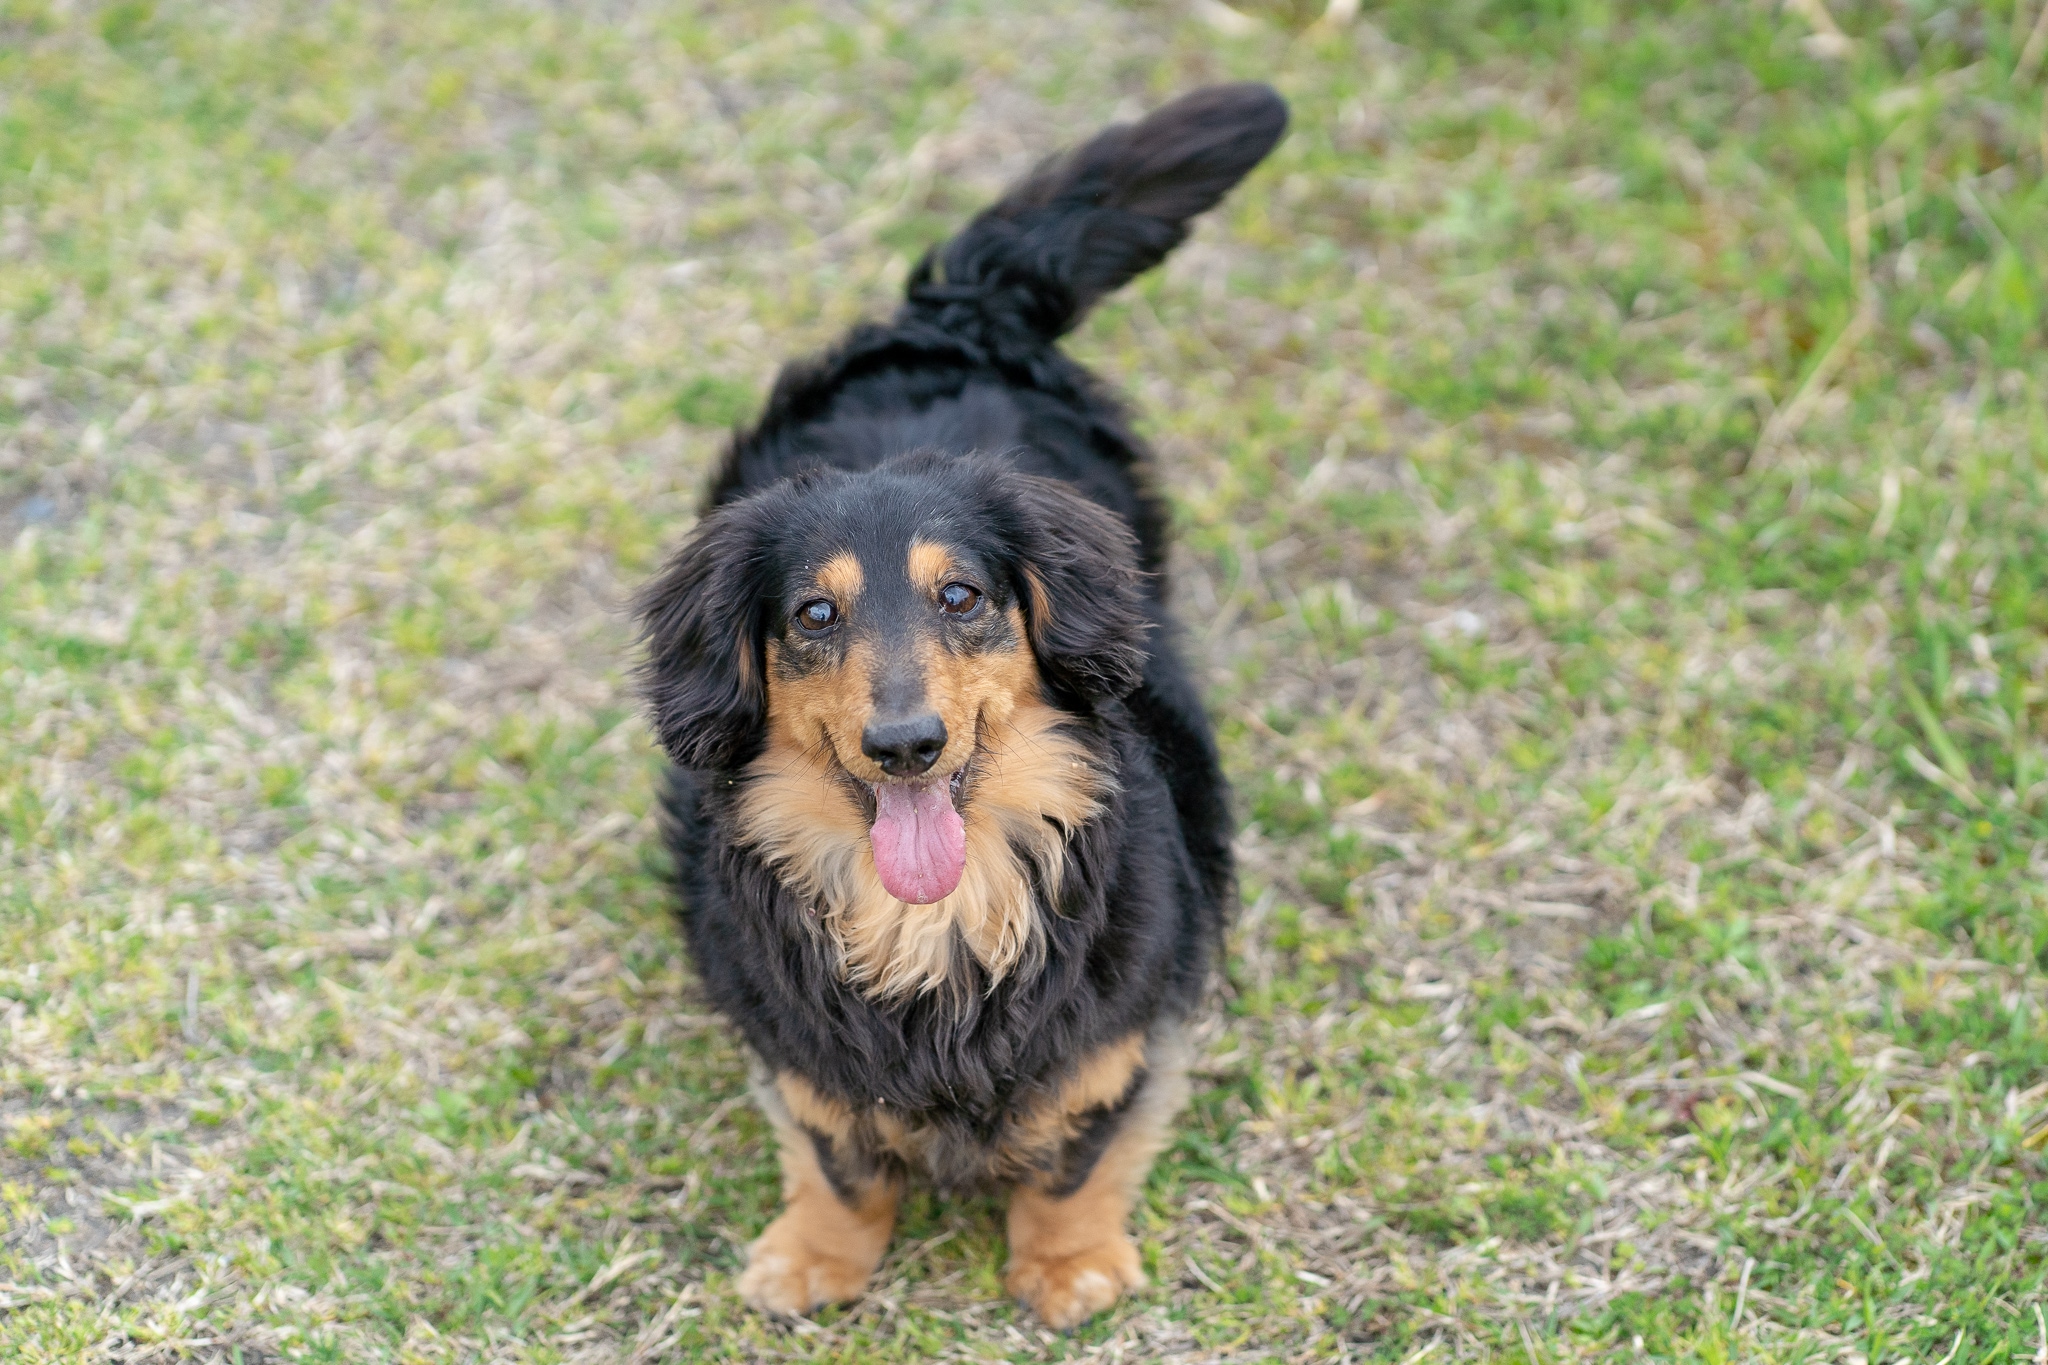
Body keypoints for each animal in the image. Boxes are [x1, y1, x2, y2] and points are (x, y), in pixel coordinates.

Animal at [630, 82, 1286, 1326]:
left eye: (962, 596)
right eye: (813, 616)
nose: (903, 747)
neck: (932, 922)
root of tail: (958, 312)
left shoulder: (1123, 1025)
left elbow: (1077, 1149)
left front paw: (1066, 1264)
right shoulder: (798, 1043)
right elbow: (837, 1155)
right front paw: (816, 1258)